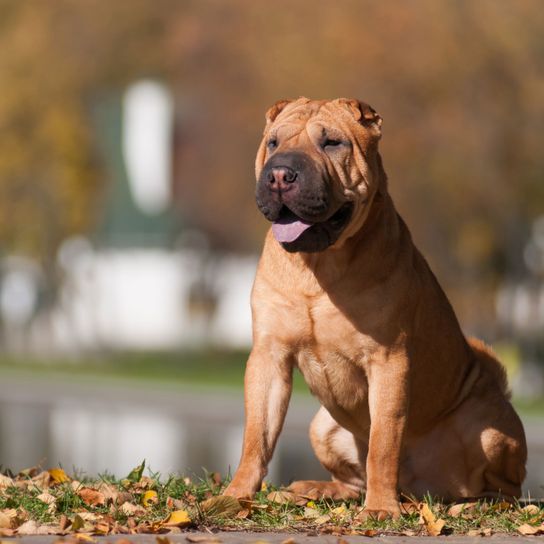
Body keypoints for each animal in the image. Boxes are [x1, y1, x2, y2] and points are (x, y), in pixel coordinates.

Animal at [223, 96, 524, 520]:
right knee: (353, 480)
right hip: (322, 427)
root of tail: (418, 491)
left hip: (489, 427)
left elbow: (383, 442)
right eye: (273, 142)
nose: (280, 174)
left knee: (506, 488)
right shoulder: (269, 356)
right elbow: (256, 439)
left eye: (332, 143)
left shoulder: (388, 360)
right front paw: (234, 497)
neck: (318, 267)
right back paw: (312, 490)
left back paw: (470, 505)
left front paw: (381, 509)